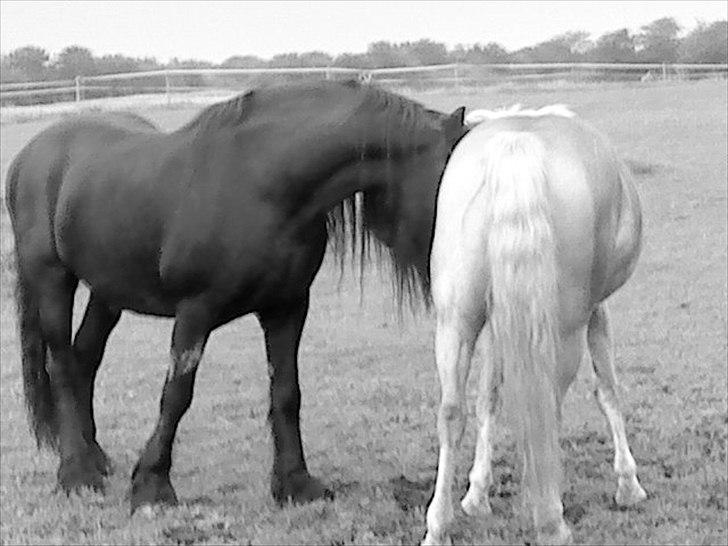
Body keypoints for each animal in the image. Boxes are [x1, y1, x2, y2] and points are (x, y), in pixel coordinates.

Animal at [5, 79, 466, 510]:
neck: (262, 184)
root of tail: (30, 155)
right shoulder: (196, 311)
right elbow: (177, 395)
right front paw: (152, 486)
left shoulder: (287, 307)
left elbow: (287, 393)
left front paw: (295, 483)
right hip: (51, 279)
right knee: (62, 365)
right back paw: (76, 472)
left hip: (108, 291)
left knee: (85, 359)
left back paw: (94, 458)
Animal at [424, 104, 644, 540]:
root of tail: (517, 143)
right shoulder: (596, 311)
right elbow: (608, 390)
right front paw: (629, 485)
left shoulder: (498, 324)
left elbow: (487, 398)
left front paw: (477, 494)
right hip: (564, 330)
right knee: (547, 409)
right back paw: (550, 520)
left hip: (457, 322)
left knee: (452, 411)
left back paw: (438, 526)